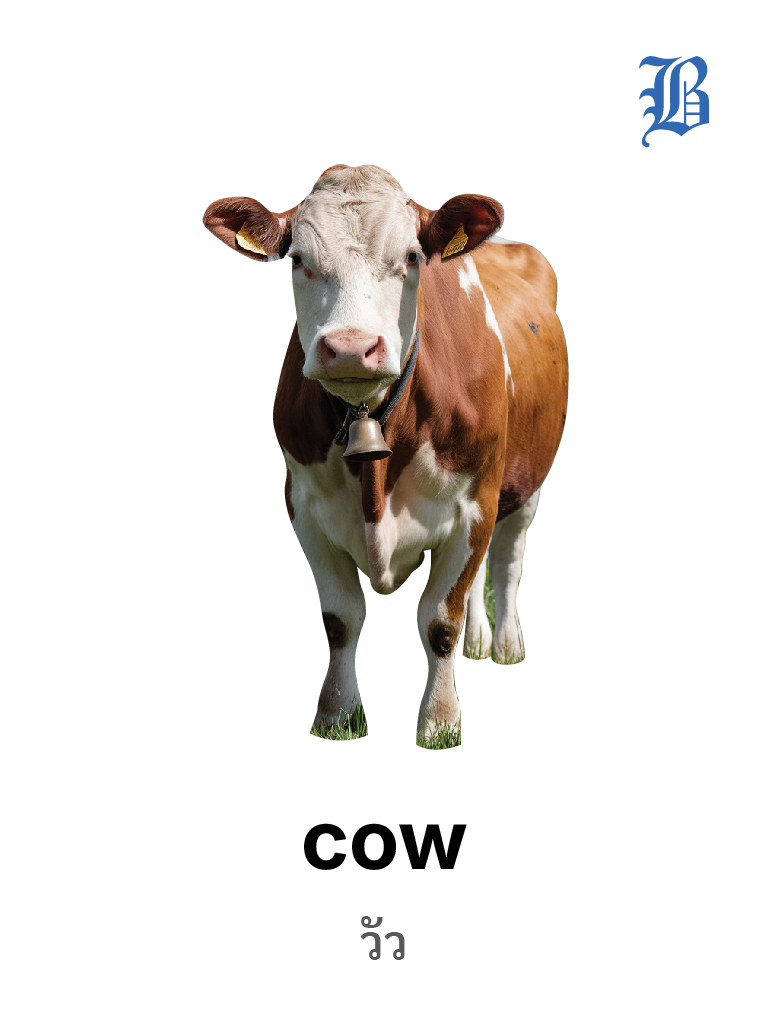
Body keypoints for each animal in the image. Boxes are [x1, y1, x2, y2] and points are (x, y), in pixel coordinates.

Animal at [203, 164, 568, 746]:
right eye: (298, 259)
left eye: (414, 257)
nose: (351, 348)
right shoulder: (304, 506)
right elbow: (340, 619)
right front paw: (337, 715)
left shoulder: (475, 504)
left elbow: (440, 621)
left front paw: (440, 721)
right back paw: (480, 641)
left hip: (524, 481)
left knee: (509, 557)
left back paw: (507, 644)